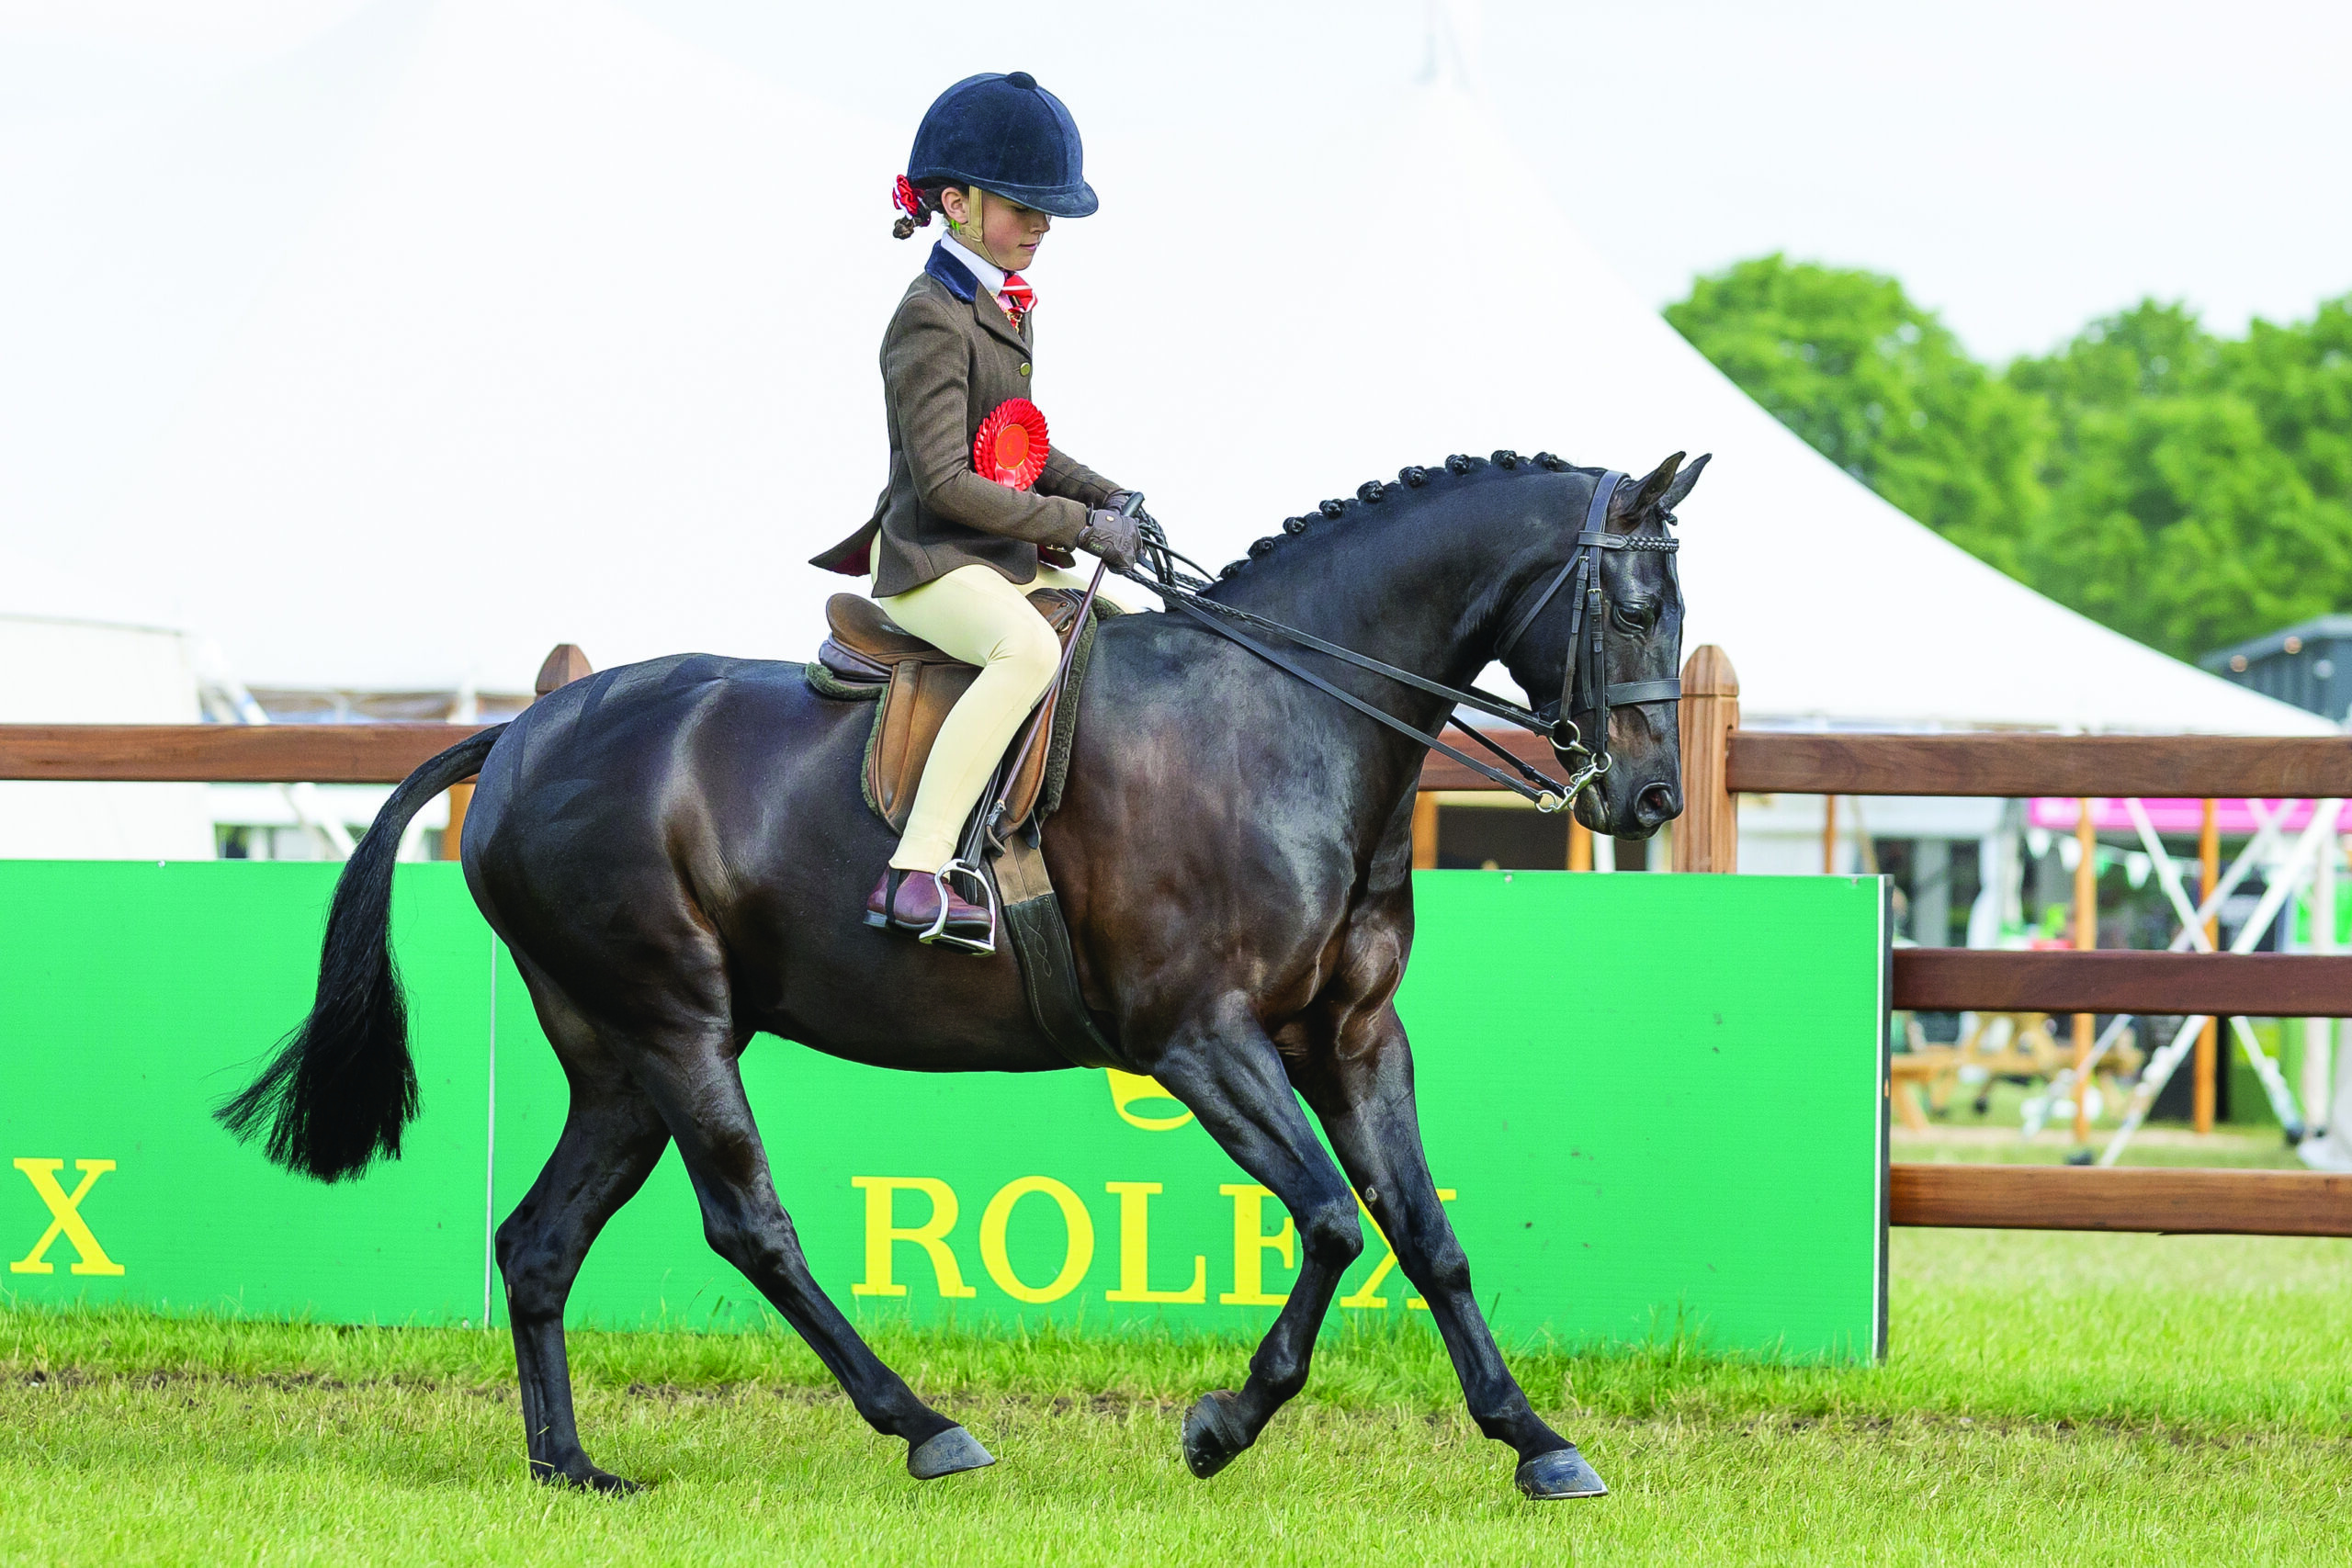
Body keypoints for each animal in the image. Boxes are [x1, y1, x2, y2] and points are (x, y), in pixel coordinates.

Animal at [221, 447, 1701, 1501]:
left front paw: (1536, 1440)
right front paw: (1220, 1424)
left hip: (621, 1059)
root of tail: (524, 729)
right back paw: (924, 1426)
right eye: (1634, 607)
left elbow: (1424, 1232)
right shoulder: (1200, 1038)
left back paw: (571, 1467)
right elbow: (1336, 1221)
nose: (1648, 797)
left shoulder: (1349, 1037)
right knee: (748, 1224)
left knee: (539, 1242)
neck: (1282, 716)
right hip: (677, 1025)